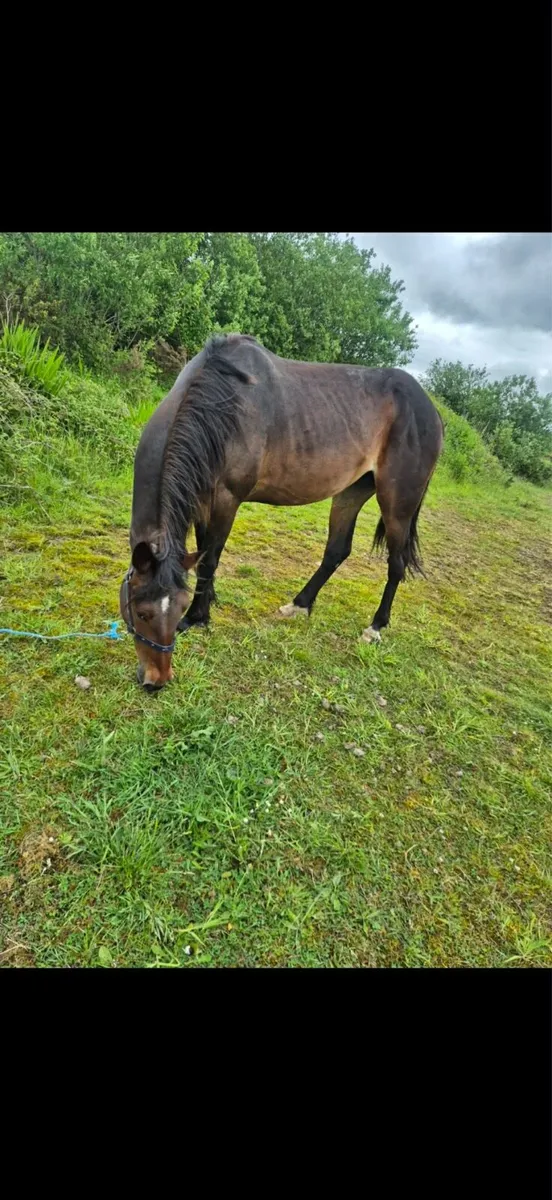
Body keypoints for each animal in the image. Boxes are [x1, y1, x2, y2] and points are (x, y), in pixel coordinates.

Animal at [120, 334, 443, 691]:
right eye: (142, 612)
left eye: (175, 609)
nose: (156, 681)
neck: (220, 409)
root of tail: (431, 409)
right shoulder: (204, 503)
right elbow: (204, 556)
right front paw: (207, 606)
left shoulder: (226, 500)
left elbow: (211, 559)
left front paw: (197, 617)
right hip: (352, 492)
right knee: (337, 551)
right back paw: (299, 605)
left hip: (397, 503)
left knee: (396, 564)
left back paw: (375, 627)